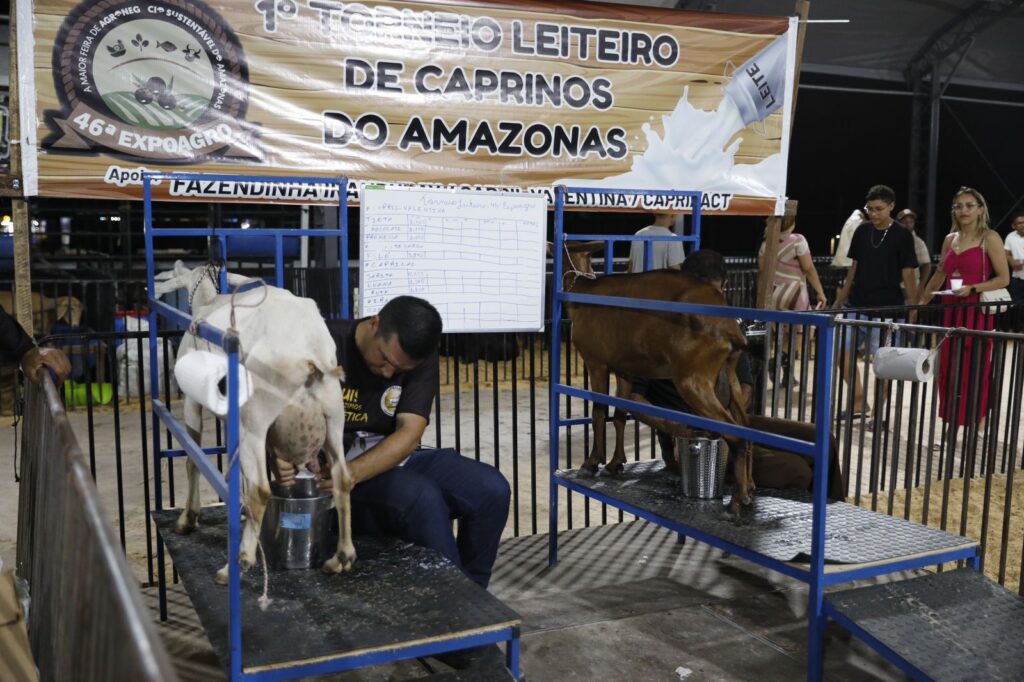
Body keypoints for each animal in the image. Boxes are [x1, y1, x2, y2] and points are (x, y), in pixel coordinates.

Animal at [152, 259, 356, 577]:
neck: (207, 301)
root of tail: (310, 353)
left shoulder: (193, 400)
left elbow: (192, 458)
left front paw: (188, 518)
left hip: (256, 419)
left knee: (260, 490)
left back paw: (237, 563)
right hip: (333, 414)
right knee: (343, 479)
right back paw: (341, 557)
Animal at [561, 240, 753, 516]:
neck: (583, 291)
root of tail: (730, 328)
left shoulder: (596, 362)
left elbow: (598, 412)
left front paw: (590, 464)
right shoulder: (625, 369)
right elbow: (620, 414)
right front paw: (615, 463)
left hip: (693, 380)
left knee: (737, 435)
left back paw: (735, 503)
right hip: (730, 376)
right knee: (747, 429)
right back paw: (747, 494)